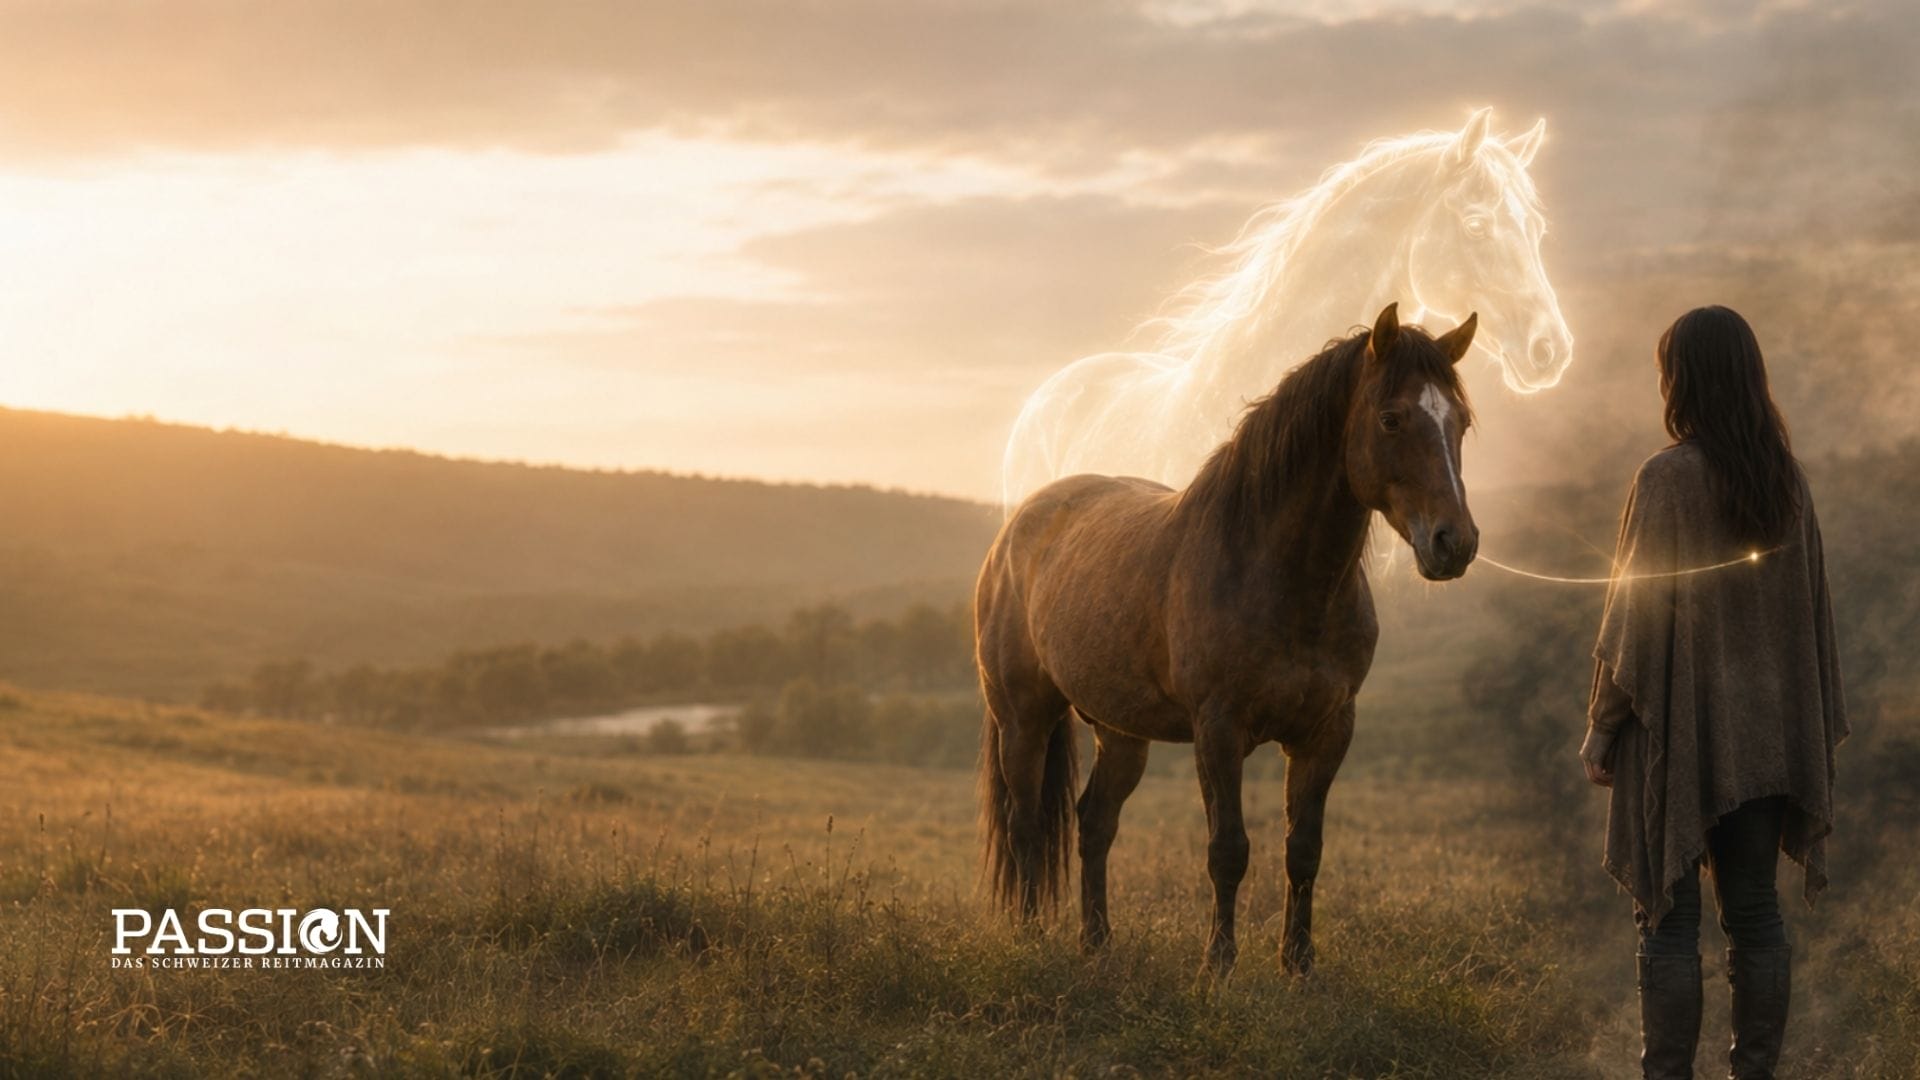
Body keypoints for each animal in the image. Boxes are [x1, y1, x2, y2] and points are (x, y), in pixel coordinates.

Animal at [975, 303, 1478, 977]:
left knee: (1094, 823)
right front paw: (1218, 966)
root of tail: (1017, 528)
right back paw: (1031, 939)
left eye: (1461, 423)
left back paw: (1098, 943)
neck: (1283, 582)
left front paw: (1299, 965)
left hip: (1121, 733)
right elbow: (1228, 849)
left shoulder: (1328, 731)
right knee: (1027, 824)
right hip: (1024, 720)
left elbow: (1304, 849)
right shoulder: (1218, 729)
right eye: (1391, 418)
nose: (1455, 543)